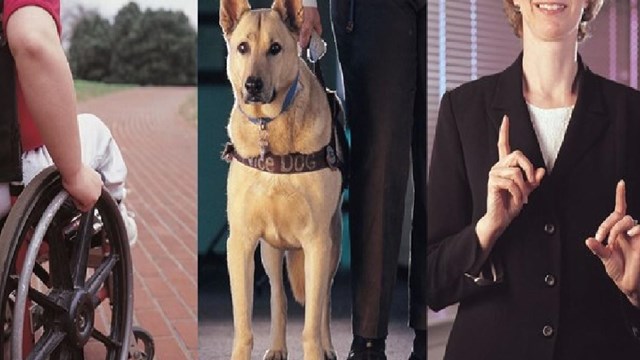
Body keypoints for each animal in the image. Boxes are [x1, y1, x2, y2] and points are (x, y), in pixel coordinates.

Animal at [220, 0, 342, 360]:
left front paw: (318, 349)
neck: (270, 125)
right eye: (242, 48)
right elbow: (244, 326)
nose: (252, 85)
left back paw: (328, 347)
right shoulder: (241, 242)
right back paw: (276, 347)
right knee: (278, 296)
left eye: (275, 48)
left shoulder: (317, 242)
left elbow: (311, 325)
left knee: (324, 301)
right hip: (270, 251)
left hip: (332, 247)